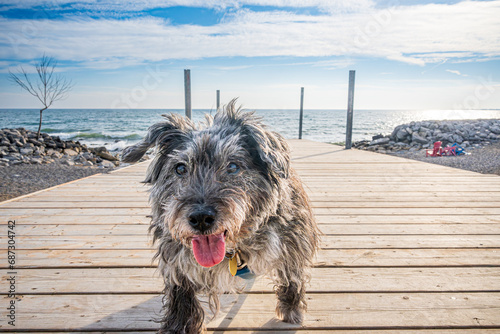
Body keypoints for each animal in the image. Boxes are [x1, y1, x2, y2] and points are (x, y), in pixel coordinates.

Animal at [121, 101, 320, 334]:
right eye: (180, 168)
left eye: (232, 166)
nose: (200, 218)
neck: (236, 247)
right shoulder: (175, 258)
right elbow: (181, 296)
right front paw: (179, 326)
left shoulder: (293, 244)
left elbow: (292, 277)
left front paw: (291, 310)